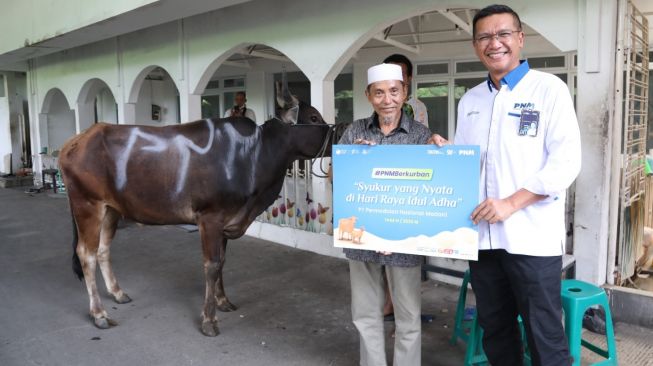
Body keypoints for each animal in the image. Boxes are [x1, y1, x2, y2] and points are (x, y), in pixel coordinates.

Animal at [59, 80, 336, 338]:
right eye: (313, 117)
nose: (335, 137)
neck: (254, 154)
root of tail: (77, 140)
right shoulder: (210, 218)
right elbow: (212, 265)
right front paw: (209, 320)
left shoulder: (226, 221)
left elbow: (222, 261)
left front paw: (223, 301)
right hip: (87, 205)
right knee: (86, 254)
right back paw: (99, 314)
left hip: (110, 210)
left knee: (103, 250)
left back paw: (118, 293)